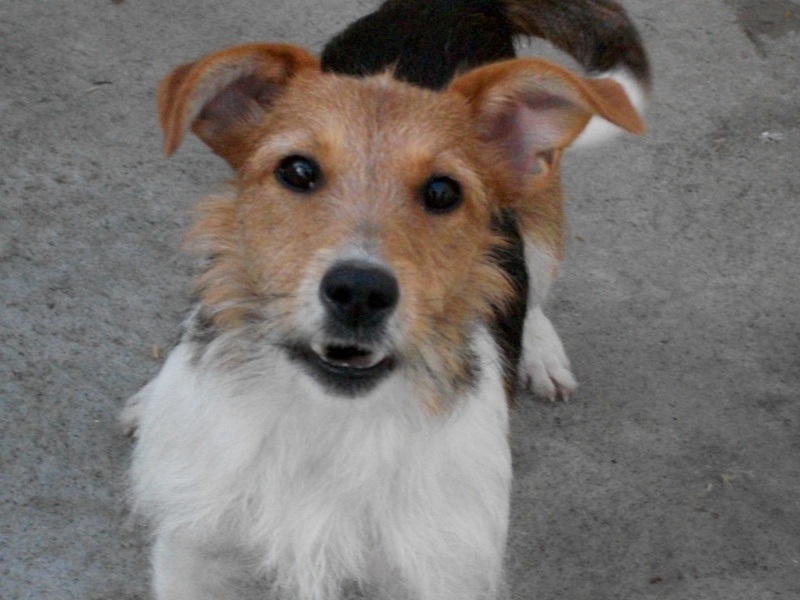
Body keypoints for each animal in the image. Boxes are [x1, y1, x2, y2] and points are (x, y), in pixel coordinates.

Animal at [125, 2, 648, 596]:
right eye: (297, 170)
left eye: (443, 191)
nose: (359, 291)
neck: (327, 422)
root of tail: (447, 5)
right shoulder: (194, 551)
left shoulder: (442, 570)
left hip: (540, 219)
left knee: (533, 289)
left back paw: (541, 353)